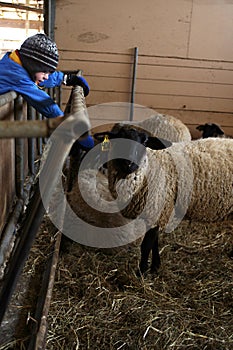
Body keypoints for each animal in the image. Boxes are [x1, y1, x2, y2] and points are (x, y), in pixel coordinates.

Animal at [105, 124, 233, 274]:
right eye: (119, 139)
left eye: (144, 142)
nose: (129, 163)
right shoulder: (157, 211)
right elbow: (154, 242)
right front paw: (155, 266)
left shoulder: (158, 207)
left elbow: (146, 245)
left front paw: (142, 271)